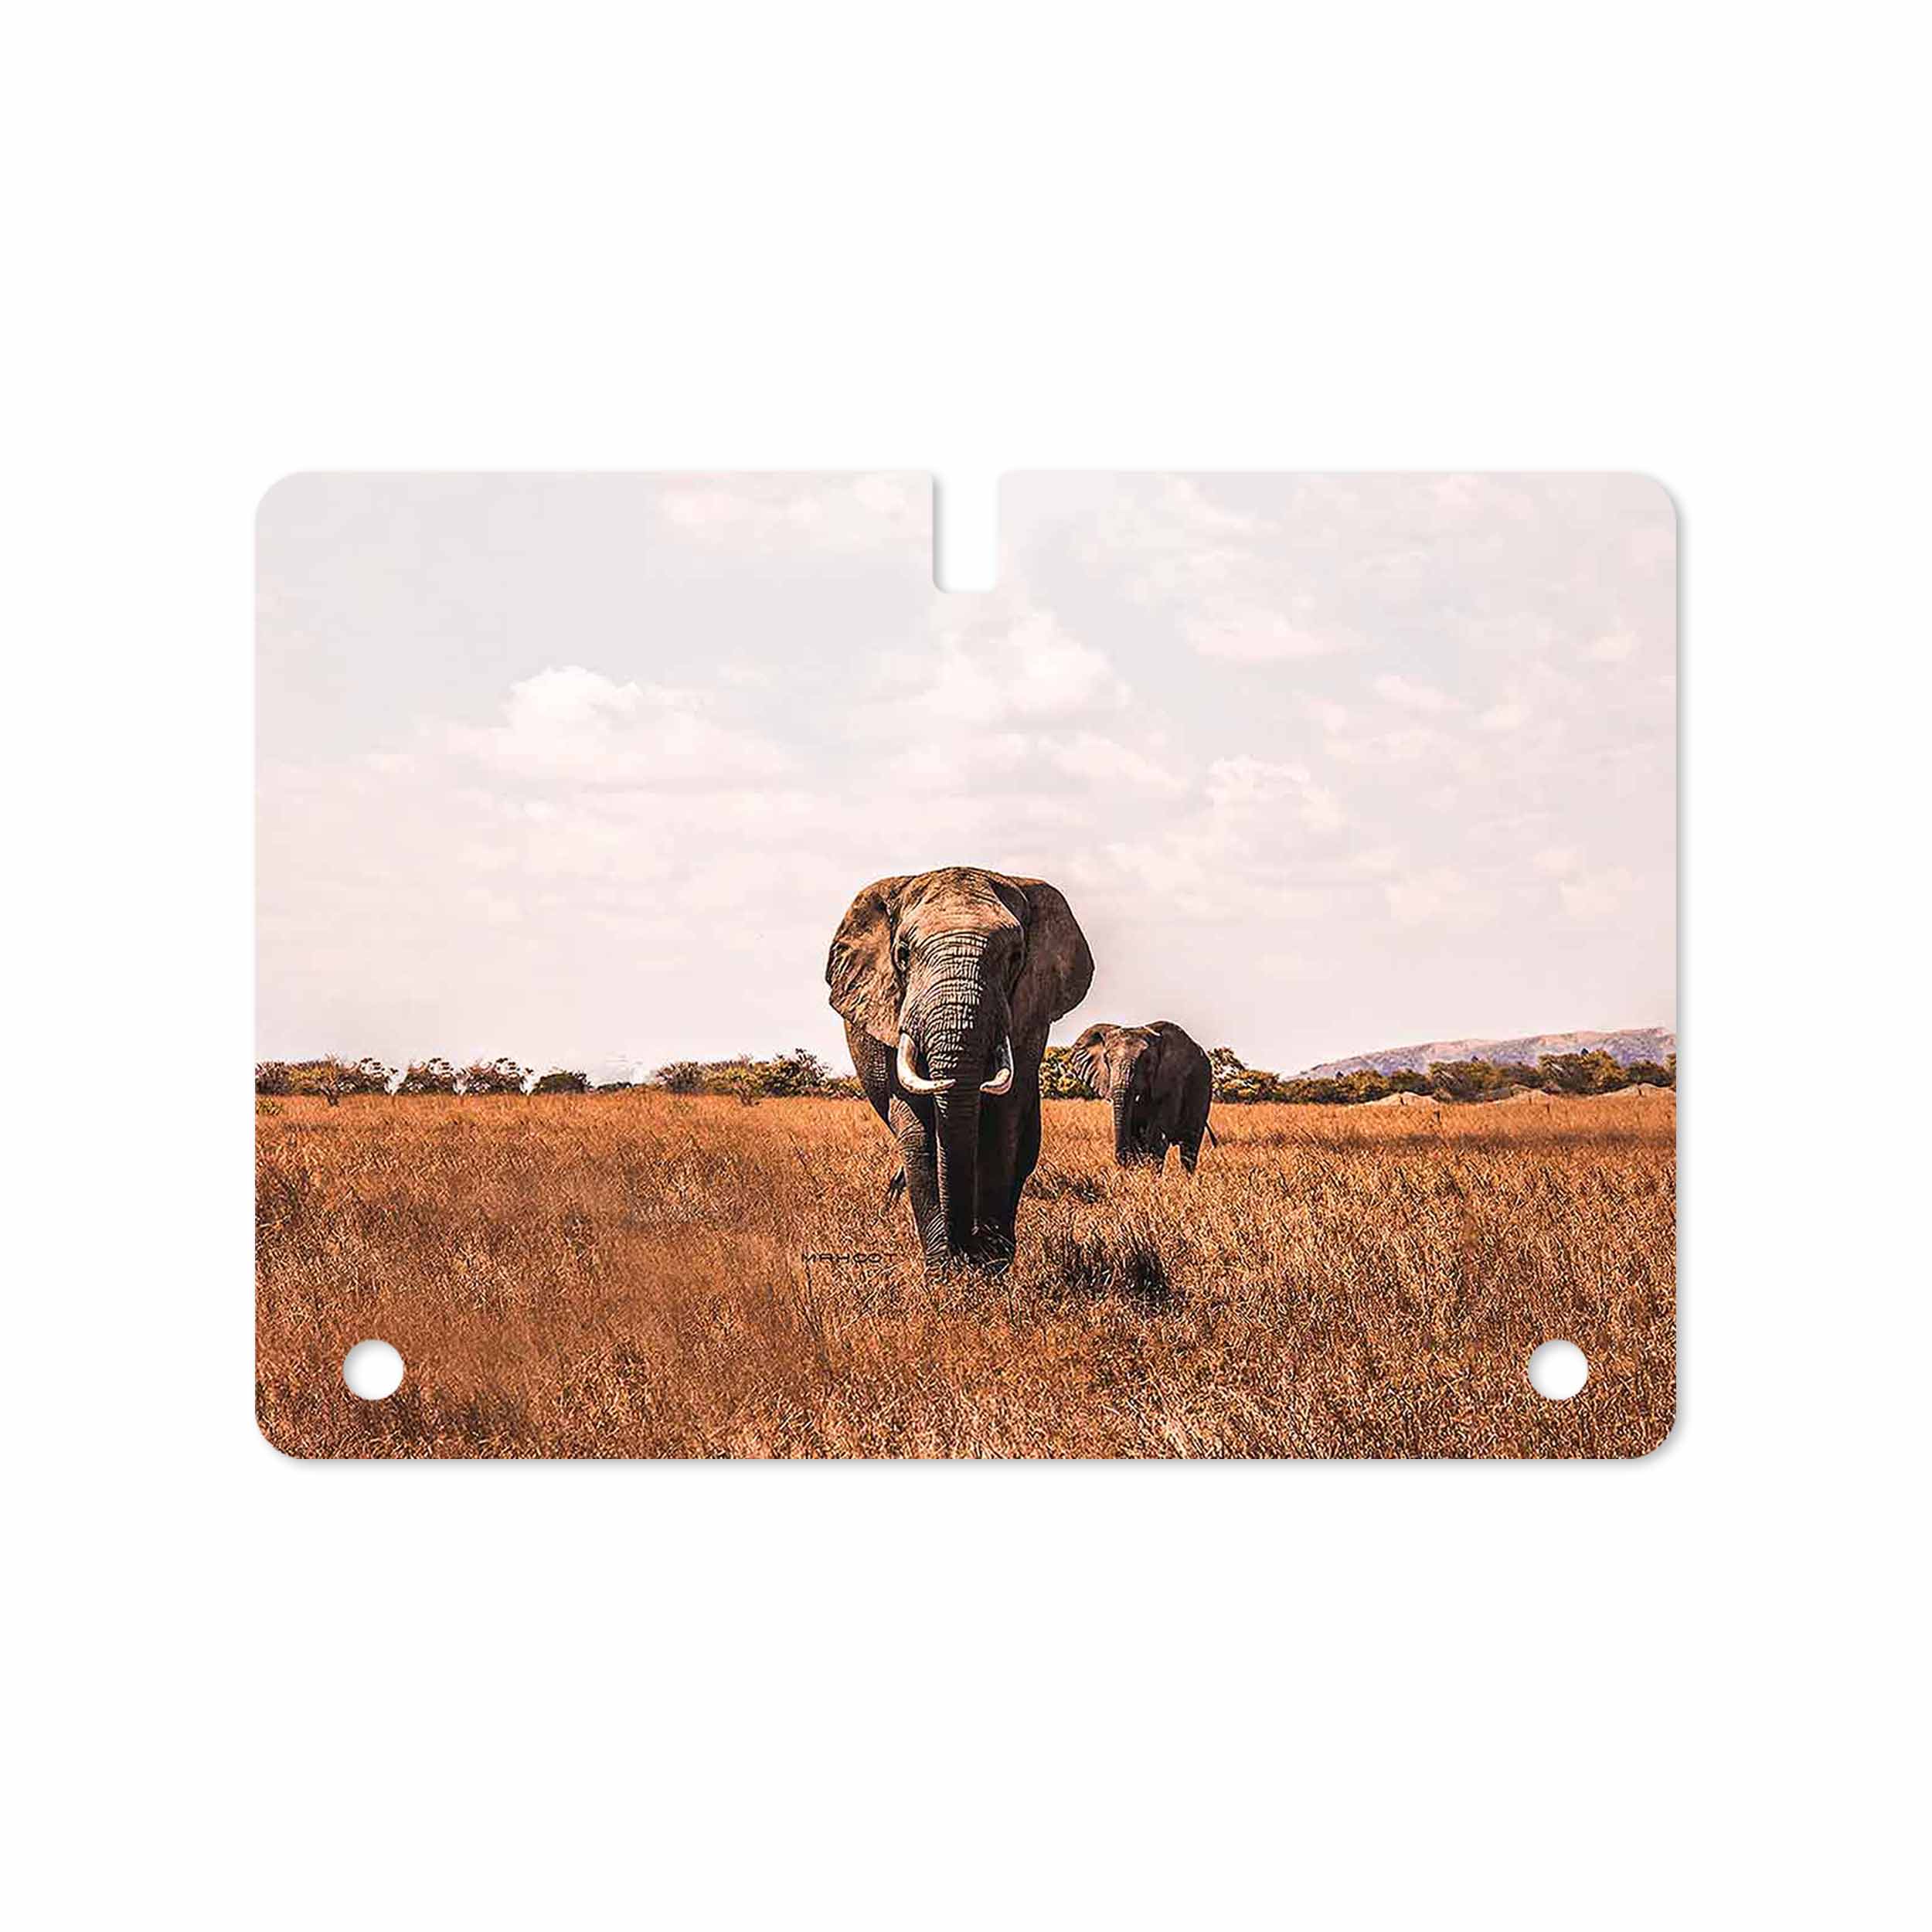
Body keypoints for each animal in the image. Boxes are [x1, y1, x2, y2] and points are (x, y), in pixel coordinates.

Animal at [827, 866, 1093, 1270]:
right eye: (903, 955)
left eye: (1015, 956)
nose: (965, 1249)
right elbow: (918, 1132)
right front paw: (945, 1273)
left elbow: (1002, 1124)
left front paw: (989, 1268)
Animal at [1071, 1020, 1216, 1172]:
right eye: (1106, 1060)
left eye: (1147, 1061)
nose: (1122, 1163)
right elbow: (1135, 1133)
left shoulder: (1173, 1080)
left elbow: (1157, 1135)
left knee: (1189, 1145)